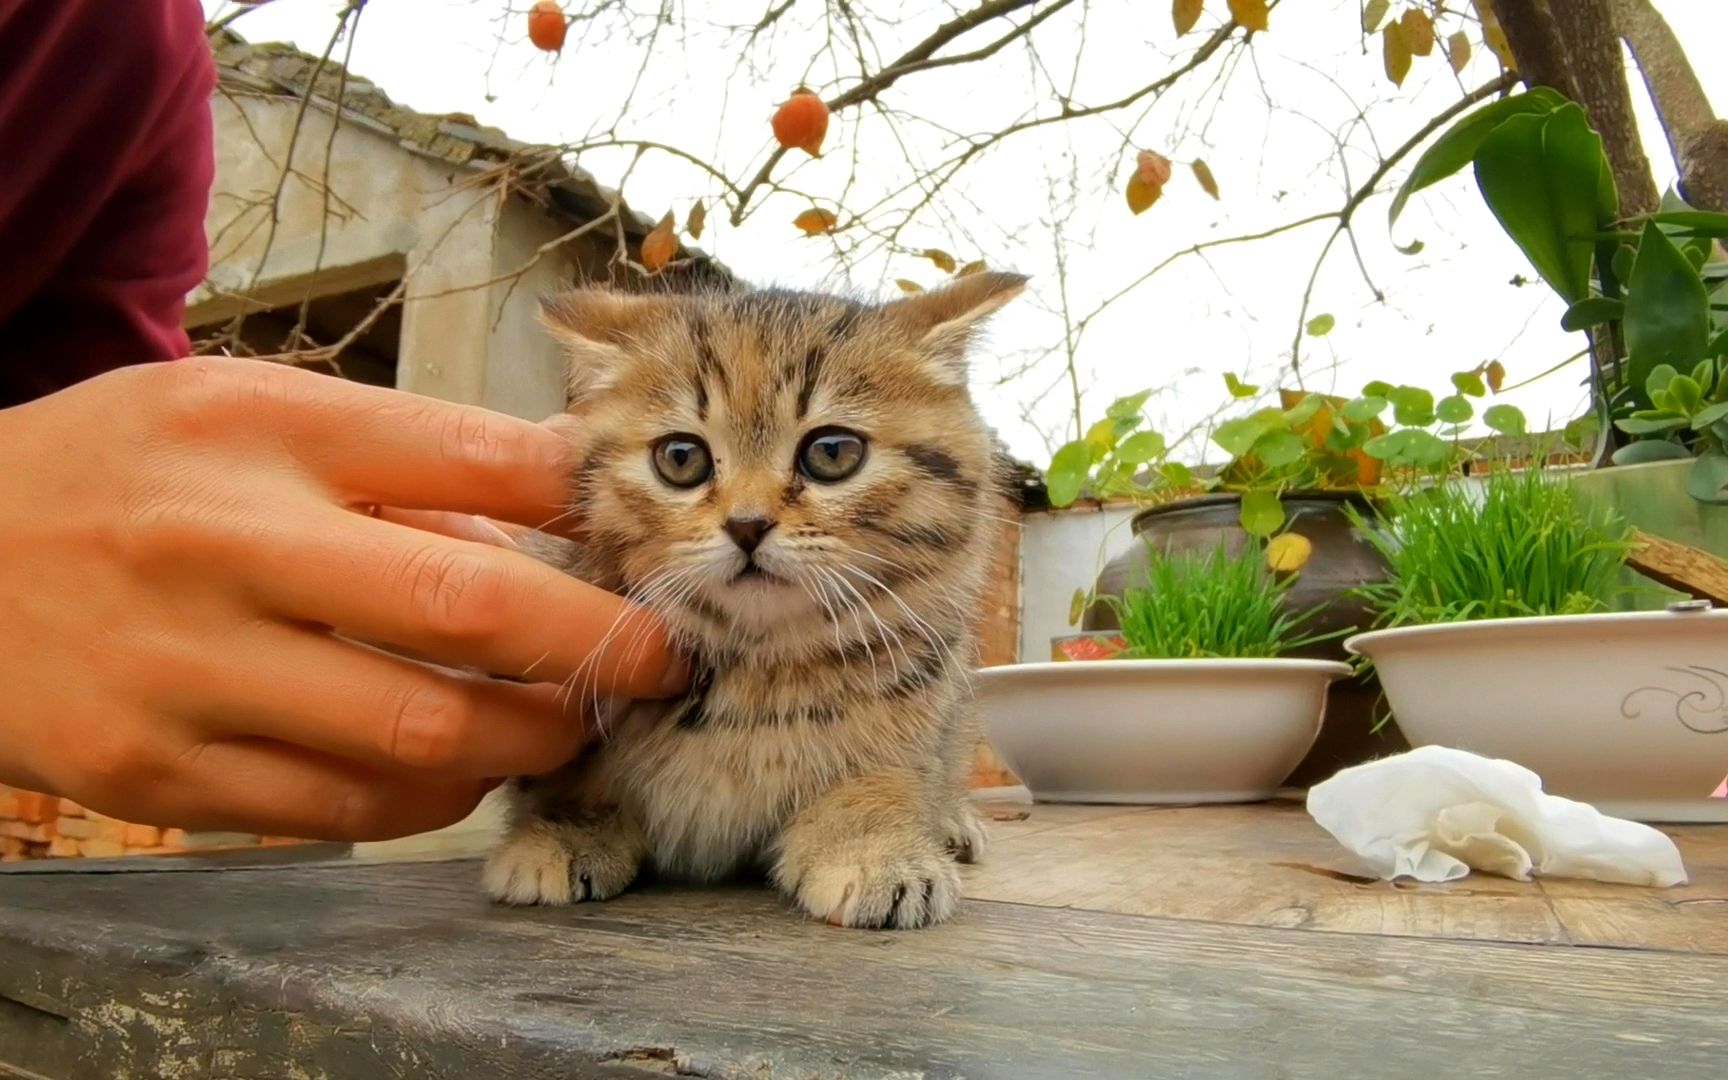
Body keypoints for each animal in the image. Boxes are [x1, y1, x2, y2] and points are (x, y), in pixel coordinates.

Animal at [480, 267, 1022, 926]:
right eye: (680, 458)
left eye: (832, 452)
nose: (747, 524)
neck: (759, 665)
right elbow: (565, 780)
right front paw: (562, 832)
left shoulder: (923, 697)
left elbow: (887, 774)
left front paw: (875, 847)